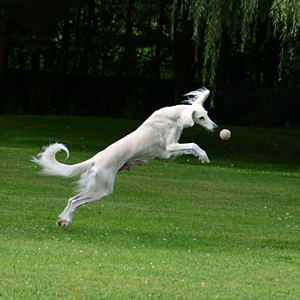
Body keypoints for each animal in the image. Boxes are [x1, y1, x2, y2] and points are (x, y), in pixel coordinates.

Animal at [32, 88, 218, 229]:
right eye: (201, 117)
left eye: (207, 114)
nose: (216, 128)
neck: (173, 116)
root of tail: (95, 159)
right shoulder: (168, 146)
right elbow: (193, 145)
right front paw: (204, 156)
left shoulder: (170, 147)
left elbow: (181, 152)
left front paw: (171, 161)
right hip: (103, 189)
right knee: (76, 202)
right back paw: (66, 221)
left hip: (94, 186)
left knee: (72, 200)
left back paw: (63, 220)